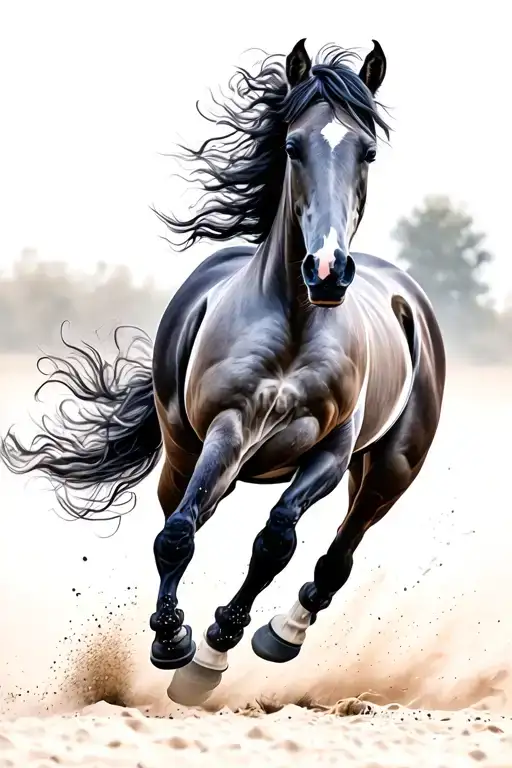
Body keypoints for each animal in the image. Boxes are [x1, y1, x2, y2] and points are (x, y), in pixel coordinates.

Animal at [0, 39, 445, 704]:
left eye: (367, 150)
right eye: (293, 145)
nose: (327, 270)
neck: (295, 321)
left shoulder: (331, 450)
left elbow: (277, 539)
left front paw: (214, 650)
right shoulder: (227, 430)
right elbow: (178, 535)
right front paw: (173, 644)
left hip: (391, 467)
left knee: (338, 555)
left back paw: (284, 632)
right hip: (190, 453)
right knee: (182, 520)